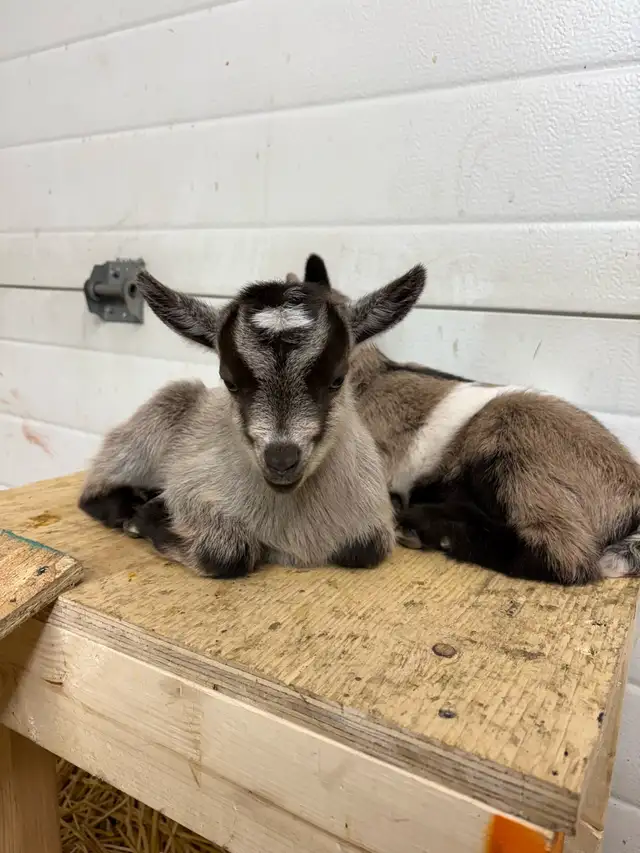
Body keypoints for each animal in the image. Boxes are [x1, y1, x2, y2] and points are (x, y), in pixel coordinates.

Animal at [79, 266, 426, 578]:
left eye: (337, 379)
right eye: (230, 381)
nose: (281, 459)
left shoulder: (373, 521)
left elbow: (366, 549)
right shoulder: (188, 486)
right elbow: (226, 554)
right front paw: (149, 518)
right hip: (160, 414)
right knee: (92, 489)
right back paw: (128, 509)